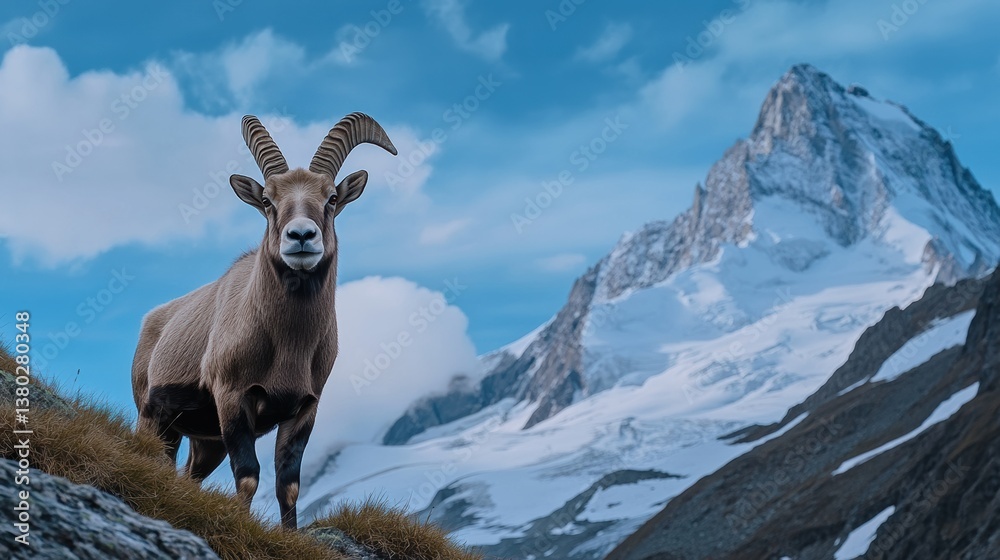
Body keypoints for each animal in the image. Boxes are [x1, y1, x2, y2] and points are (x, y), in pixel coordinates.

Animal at [131, 113, 396, 529]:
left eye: (331, 198)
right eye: (268, 201)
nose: (301, 236)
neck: (286, 345)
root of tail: (153, 320)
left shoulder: (304, 409)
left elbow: (289, 484)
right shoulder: (232, 399)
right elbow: (248, 476)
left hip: (203, 441)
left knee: (189, 474)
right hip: (153, 416)